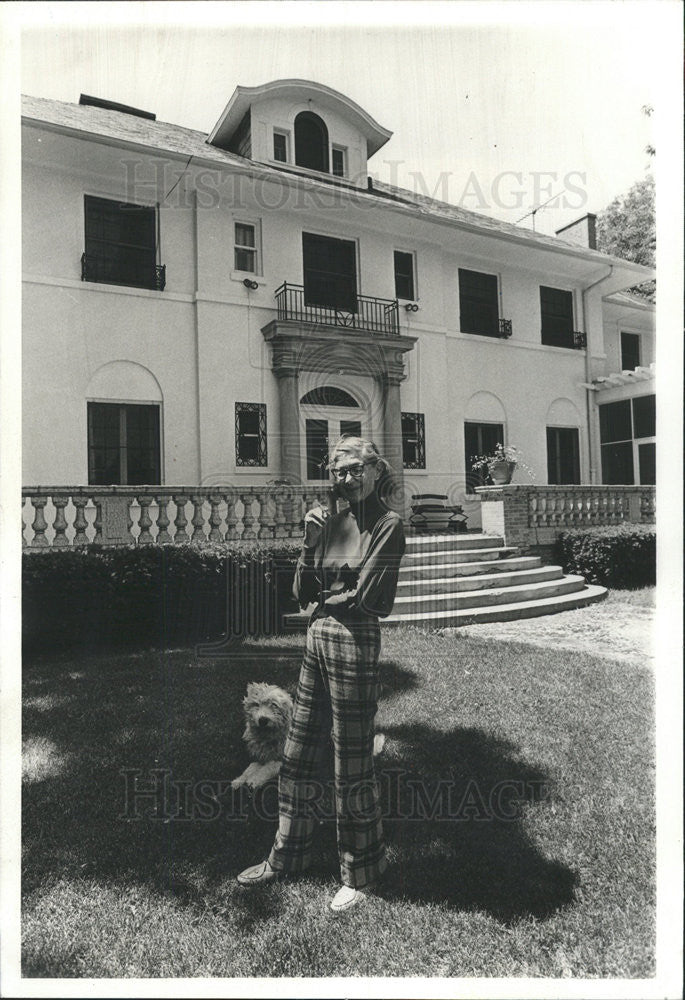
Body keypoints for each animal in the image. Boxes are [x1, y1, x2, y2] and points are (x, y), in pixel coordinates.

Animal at [232, 680, 384, 788]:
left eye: (274, 705)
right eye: (256, 704)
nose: (263, 720)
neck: (269, 736)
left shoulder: (283, 760)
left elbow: (267, 768)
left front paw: (253, 781)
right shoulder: (259, 758)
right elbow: (250, 768)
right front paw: (239, 780)